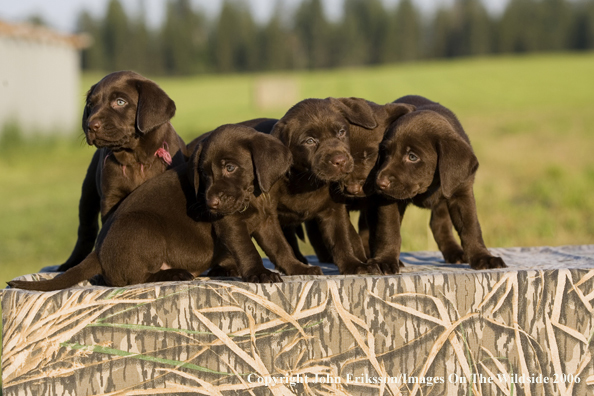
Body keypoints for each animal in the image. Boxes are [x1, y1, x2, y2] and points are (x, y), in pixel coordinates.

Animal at [368, 94, 506, 274]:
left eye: (412, 156)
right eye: (385, 152)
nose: (380, 183)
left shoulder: (462, 193)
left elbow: (471, 227)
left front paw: (483, 257)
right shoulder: (388, 200)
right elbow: (389, 231)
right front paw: (384, 260)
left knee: (439, 225)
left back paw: (454, 252)